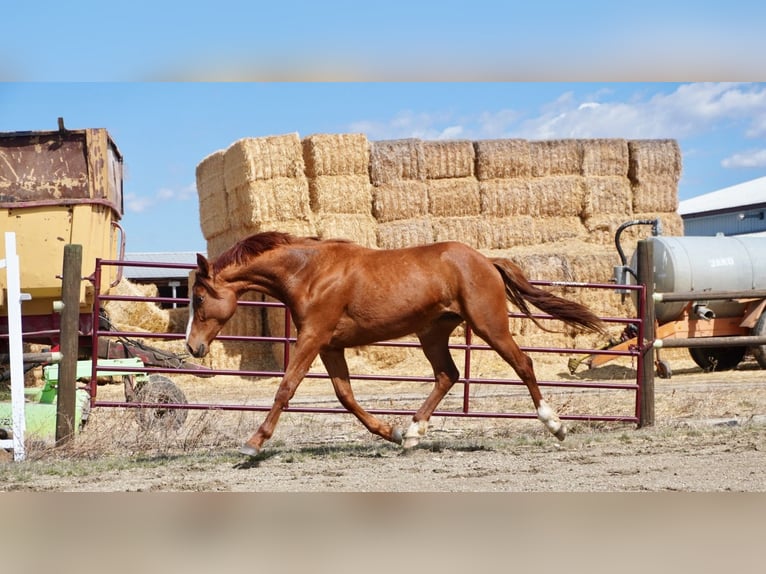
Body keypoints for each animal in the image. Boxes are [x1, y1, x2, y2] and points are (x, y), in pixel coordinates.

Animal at [185, 231, 605, 457]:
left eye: (199, 298)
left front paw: (253, 444)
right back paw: (413, 433)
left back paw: (555, 425)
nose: (192, 348)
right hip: (433, 333)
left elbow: (286, 388)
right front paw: (393, 433)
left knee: (523, 364)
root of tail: (486, 260)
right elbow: (346, 397)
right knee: (447, 375)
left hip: (489, 326)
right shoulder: (329, 345)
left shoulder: (313, 337)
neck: (310, 273)